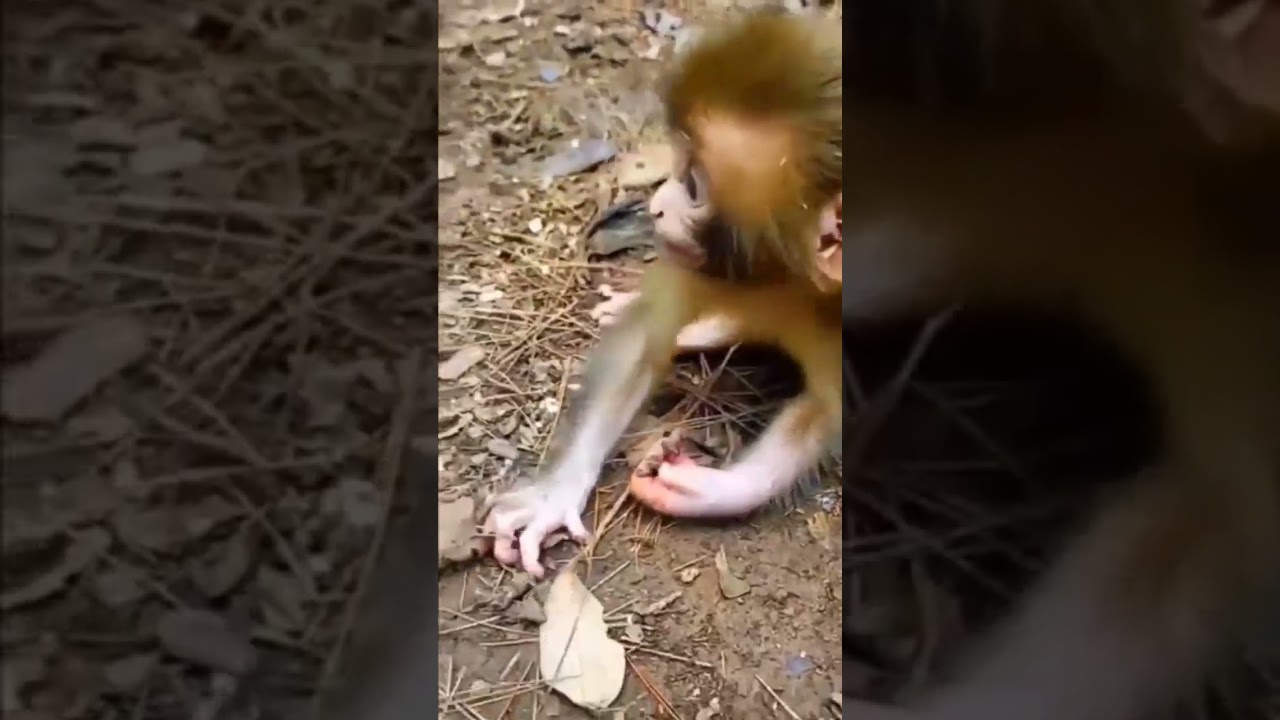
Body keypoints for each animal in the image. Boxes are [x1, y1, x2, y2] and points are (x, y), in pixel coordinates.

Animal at [480, 12, 845, 579]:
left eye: (693, 185)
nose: (654, 205)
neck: (782, 277)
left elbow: (828, 411)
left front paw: (713, 489)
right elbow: (643, 343)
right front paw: (553, 496)